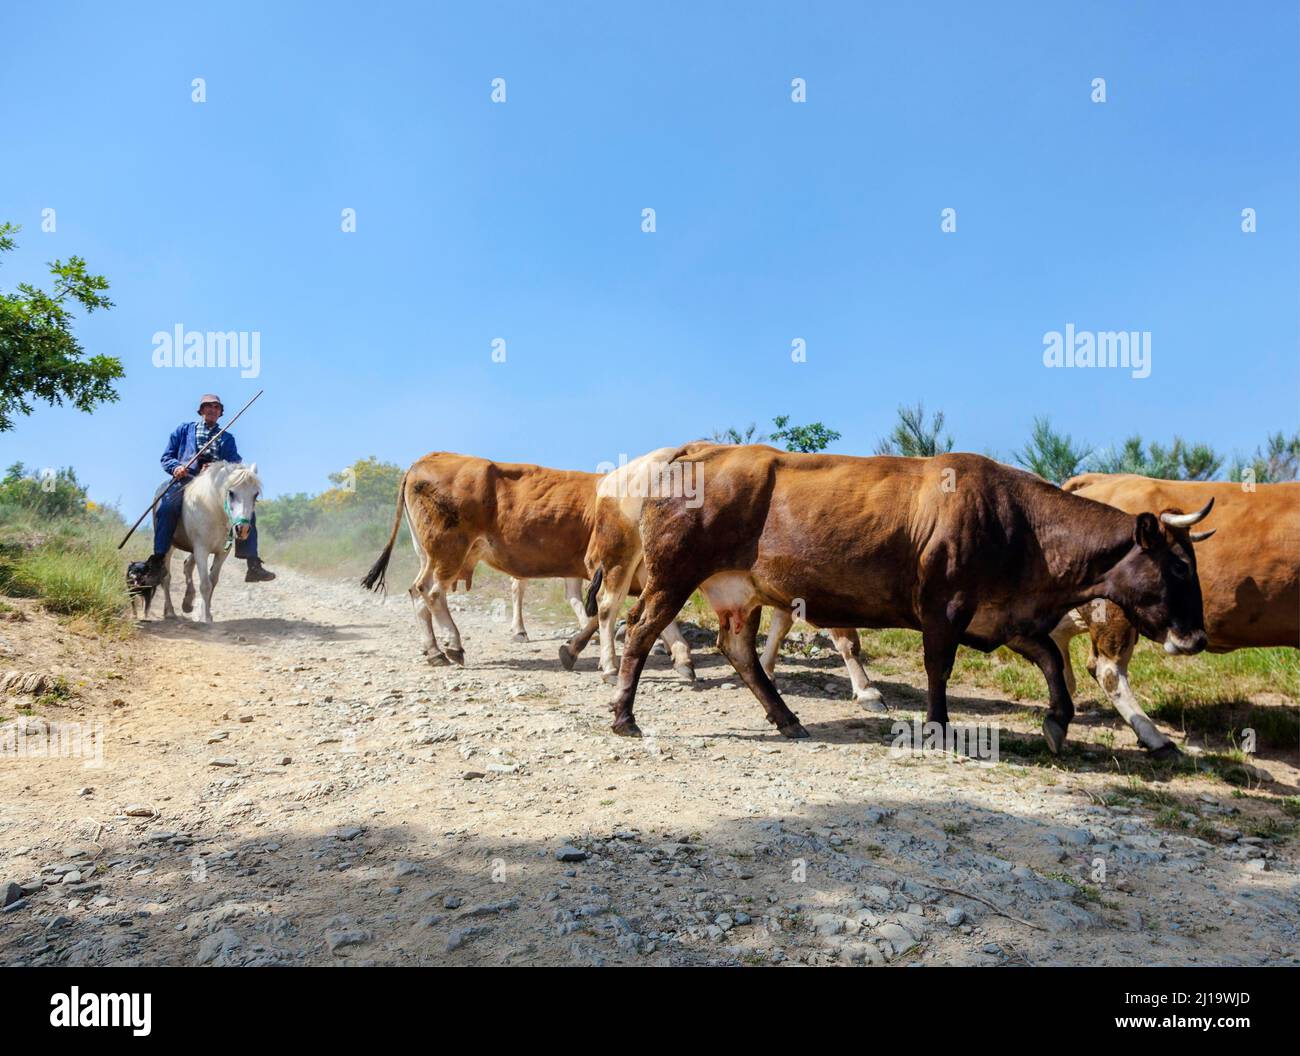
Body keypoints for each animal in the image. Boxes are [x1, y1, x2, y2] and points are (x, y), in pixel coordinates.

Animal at [153, 460, 260, 621]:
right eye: (231, 492)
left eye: (255, 494)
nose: (242, 529)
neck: (214, 510)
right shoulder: (201, 550)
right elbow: (205, 584)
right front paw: (205, 618)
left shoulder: (222, 552)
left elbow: (213, 581)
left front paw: (207, 612)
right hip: (168, 546)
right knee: (166, 577)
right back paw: (170, 612)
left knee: (187, 566)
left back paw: (186, 603)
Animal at [361, 452, 696, 665]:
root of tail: (427, 458)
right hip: (448, 549)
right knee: (431, 592)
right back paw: (454, 645)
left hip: (427, 553)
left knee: (417, 591)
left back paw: (433, 650)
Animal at [603, 442, 1211, 749]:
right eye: (1179, 566)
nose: (1197, 638)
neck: (1022, 524)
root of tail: (694, 451)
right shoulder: (945, 607)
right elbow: (939, 667)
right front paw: (938, 727)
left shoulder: (1006, 617)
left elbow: (1051, 664)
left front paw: (1058, 723)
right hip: (672, 576)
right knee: (639, 629)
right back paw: (625, 715)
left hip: (738, 591)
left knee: (739, 651)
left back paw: (787, 717)